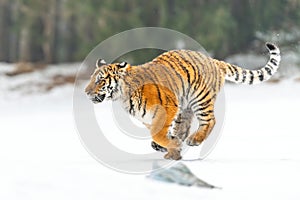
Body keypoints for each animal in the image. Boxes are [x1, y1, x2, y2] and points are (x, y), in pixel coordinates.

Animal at [85, 43, 282, 160]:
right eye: (92, 78)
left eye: (100, 80)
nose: (86, 92)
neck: (124, 96)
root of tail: (213, 60)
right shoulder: (151, 118)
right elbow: (159, 136)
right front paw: (171, 149)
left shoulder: (166, 108)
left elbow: (157, 134)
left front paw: (171, 146)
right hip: (185, 107)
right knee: (185, 126)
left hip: (199, 99)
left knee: (210, 120)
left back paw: (194, 140)